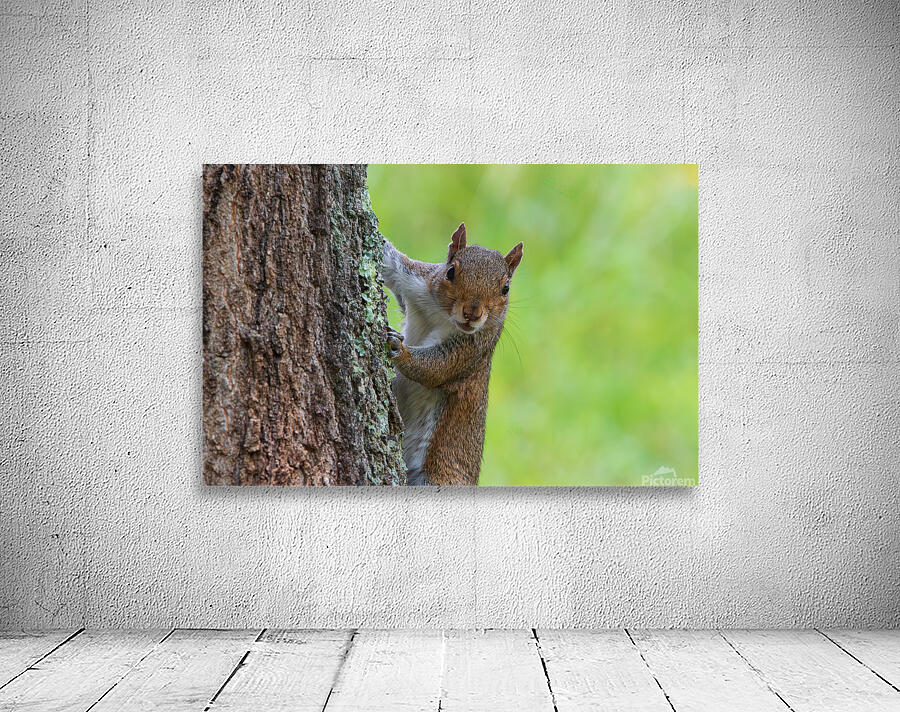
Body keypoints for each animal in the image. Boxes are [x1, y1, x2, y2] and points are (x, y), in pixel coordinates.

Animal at [381, 223, 523, 486]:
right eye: (450, 272)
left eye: (506, 288)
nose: (472, 313)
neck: (443, 316)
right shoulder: (416, 281)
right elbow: (391, 262)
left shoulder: (472, 350)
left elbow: (436, 368)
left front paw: (400, 350)